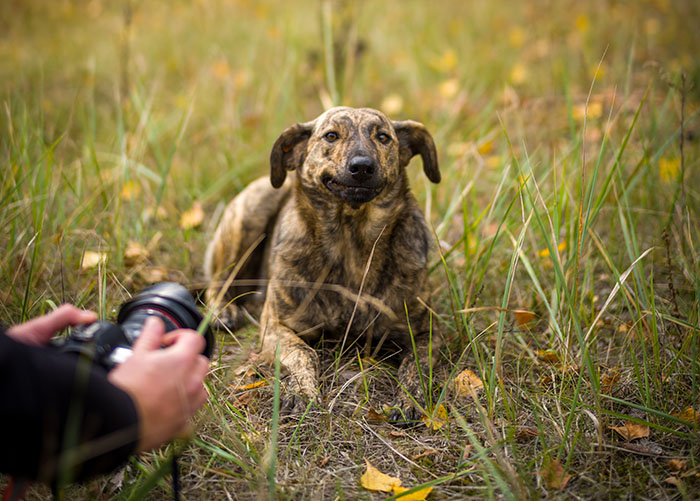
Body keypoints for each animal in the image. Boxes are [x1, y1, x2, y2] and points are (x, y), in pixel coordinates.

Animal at [205, 106, 440, 422]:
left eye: (383, 137)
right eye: (331, 135)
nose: (362, 166)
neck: (351, 242)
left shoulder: (428, 333)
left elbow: (416, 364)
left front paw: (409, 398)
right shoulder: (275, 325)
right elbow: (305, 353)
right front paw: (304, 394)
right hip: (251, 213)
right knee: (220, 279)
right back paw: (223, 311)